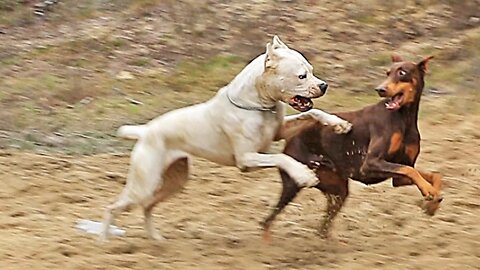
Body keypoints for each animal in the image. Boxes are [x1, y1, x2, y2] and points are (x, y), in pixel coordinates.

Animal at [100, 35, 348, 240]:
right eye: (301, 76)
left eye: (311, 70)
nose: (324, 85)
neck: (258, 104)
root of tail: (145, 131)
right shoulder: (247, 159)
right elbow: (282, 158)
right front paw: (303, 174)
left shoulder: (280, 131)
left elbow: (312, 113)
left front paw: (339, 124)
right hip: (144, 184)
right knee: (113, 207)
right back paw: (105, 242)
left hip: (174, 182)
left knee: (148, 207)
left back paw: (156, 241)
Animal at [262, 54, 442, 238]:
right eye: (387, 73)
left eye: (402, 72)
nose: (380, 89)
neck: (404, 118)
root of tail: (291, 136)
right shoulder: (370, 164)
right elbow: (411, 171)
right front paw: (429, 193)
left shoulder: (398, 177)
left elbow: (432, 175)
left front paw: (432, 202)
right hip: (294, 183)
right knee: (267, 221)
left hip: (337, 189)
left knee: (323, 227)